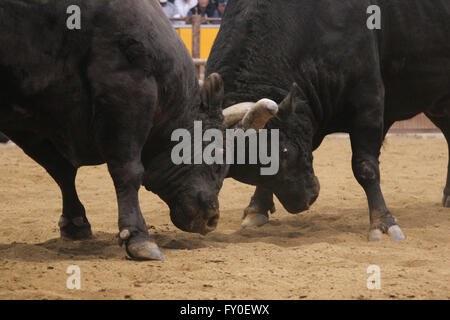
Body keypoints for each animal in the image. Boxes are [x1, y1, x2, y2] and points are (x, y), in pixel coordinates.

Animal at [207, 0, 450, 240]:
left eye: (285, 151)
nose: (304, 201)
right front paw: (257, 209)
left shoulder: (368, 101)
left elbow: (365, 167)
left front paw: (383, 223)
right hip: (438, 104)